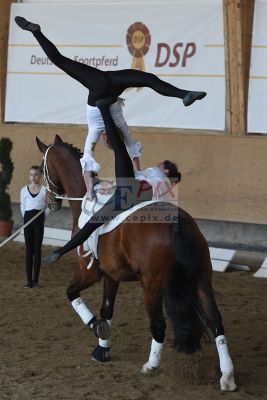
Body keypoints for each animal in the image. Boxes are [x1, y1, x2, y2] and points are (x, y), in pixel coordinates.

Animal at [36, 134, 238, 390]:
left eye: (42, 168)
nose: (50, 202)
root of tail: (178, 224)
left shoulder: (90, 272)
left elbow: (72, 294)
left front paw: (96, 328)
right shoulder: (111, 275)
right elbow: (107, 310)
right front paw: (103, 350)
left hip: (152, 287)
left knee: (159, 325)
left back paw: (150, 366)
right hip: (201, 280)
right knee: (216, 321)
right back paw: (227, 376)